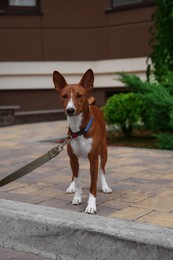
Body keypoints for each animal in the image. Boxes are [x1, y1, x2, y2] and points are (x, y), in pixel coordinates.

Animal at [53, 69, 112, 213]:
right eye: (64, 96)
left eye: (79, 95)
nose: (70, 110)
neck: (79, 130)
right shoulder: (73, 158)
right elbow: (78, 180)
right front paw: (77, 197)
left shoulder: (94, 160)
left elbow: (93, 184)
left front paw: (91, 205)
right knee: (74, 175)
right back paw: (71, 186)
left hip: (104, 151)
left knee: (102, 169)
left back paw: (105, 186)